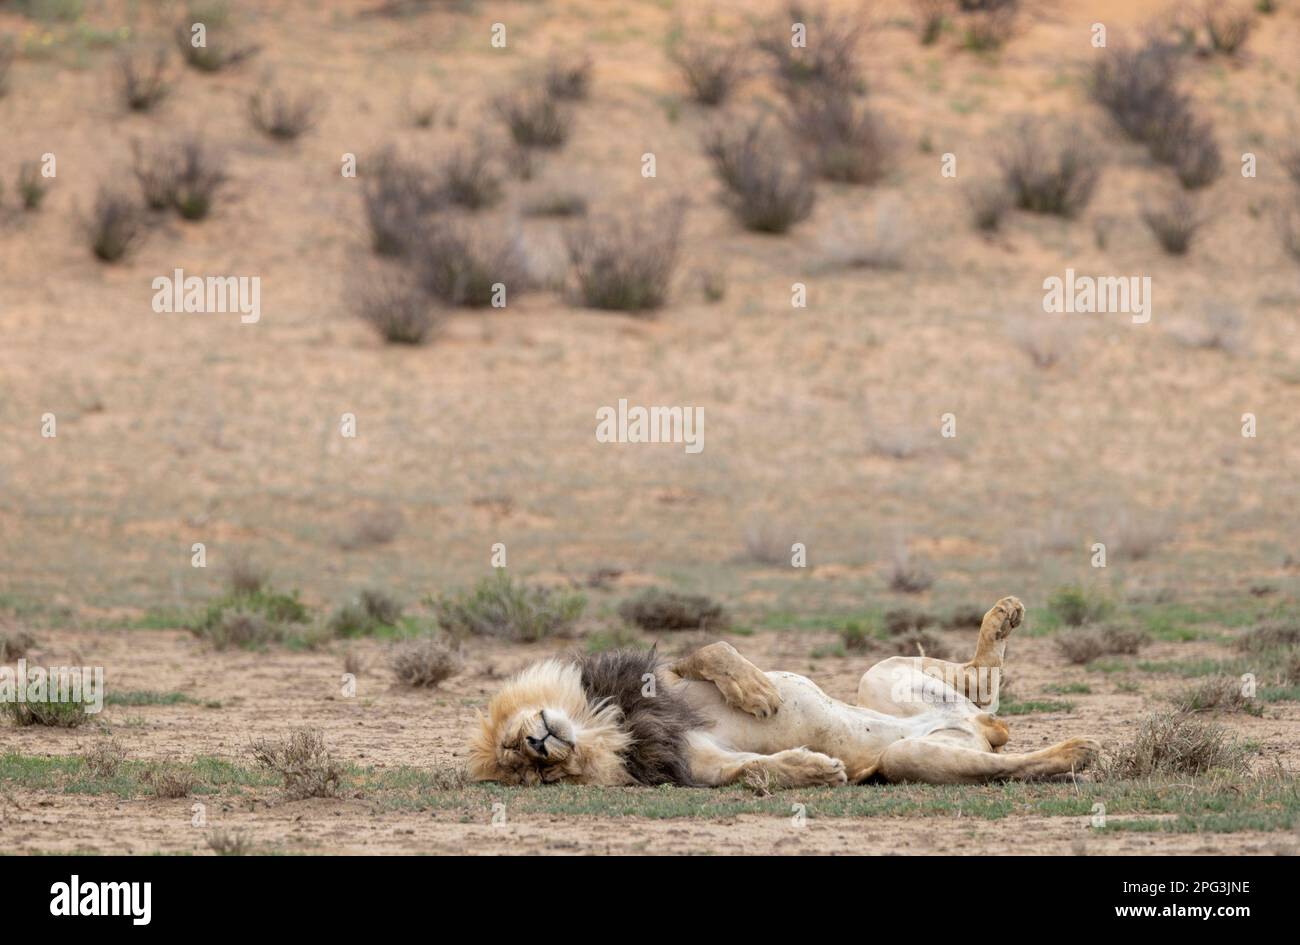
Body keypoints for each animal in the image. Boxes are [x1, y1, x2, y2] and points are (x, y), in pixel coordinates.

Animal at [468, 596, 1100, 787]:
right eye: (533, 775)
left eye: (511, 744)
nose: (538, 747)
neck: (608, 725)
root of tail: (977, 732)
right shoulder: (692, 761)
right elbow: (749, 770)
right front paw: (813, 769)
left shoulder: (658, 684)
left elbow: (710, 650)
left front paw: (756, 692)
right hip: (911, 754)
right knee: (1006, 756)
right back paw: (1075, 752)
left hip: (879, 676)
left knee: (984, 686)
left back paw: (1003, 618)